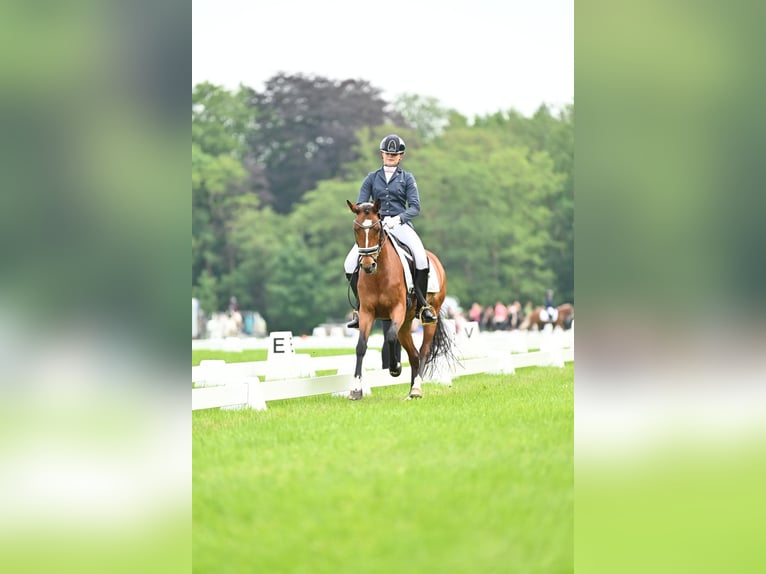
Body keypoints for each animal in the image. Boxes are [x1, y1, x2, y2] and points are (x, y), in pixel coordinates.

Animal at [348, 198, 456, 400]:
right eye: (356, 228)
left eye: (377, 228)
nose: (367, 265)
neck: (379, 274)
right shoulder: (367, 312)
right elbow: (361, 346)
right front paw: (356, 390)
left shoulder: (397, 309)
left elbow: (390, 337)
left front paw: (395, 368)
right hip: (405, 323)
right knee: (413, 354)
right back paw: (411, 390)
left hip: (430, 316)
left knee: (423, 351)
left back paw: (417, 388)